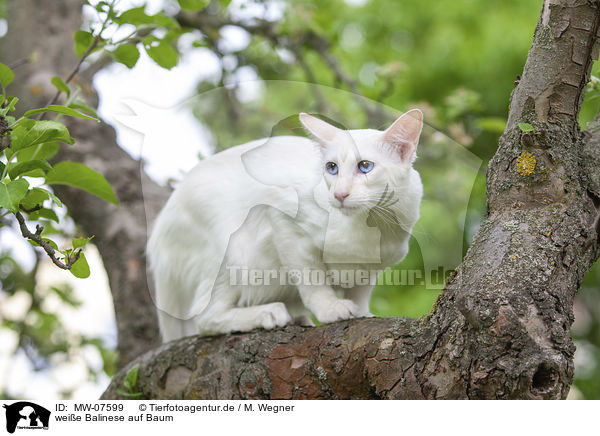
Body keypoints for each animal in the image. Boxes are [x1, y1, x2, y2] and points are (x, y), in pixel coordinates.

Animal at [147, 109, 424, 340]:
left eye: (365, 167)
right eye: (331, 168)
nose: (339, 194)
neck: (371, 225)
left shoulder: (371, 267)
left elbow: (360, 292)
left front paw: (362, 313)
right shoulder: (284, 224)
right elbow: (313, 282)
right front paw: (330, 309)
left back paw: (295, 317)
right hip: (235, 255)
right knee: (205, 319)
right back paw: (270, 314)